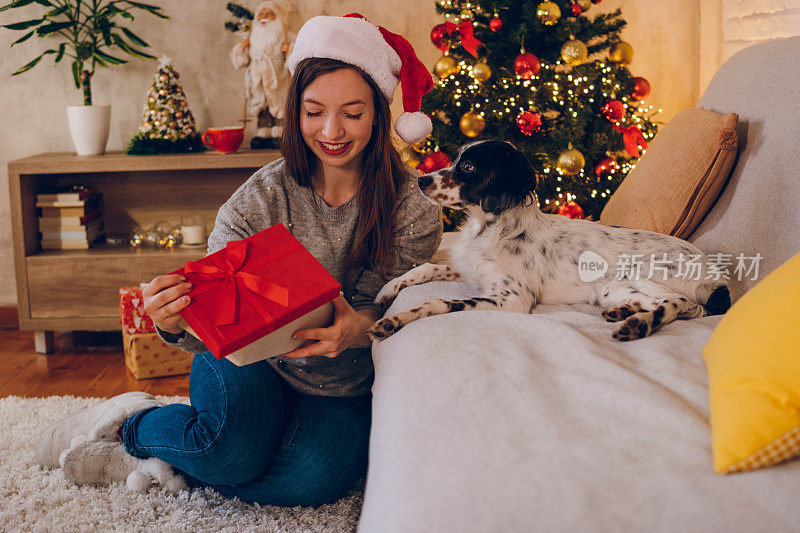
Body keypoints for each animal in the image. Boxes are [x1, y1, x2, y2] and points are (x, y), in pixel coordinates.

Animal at [368, 138, 732, 340]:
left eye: (468, 166)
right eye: (457, 159)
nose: (421, 180)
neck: (494, 228)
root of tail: (715, 272)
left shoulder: (513, 299)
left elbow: (438, 302)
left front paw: (396, 320)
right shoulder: (471, 267)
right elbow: (425, 267)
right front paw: (388, 291)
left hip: (641, 276)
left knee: (684, 305)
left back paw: (637, 325)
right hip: (611, 290)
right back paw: (624, 312)